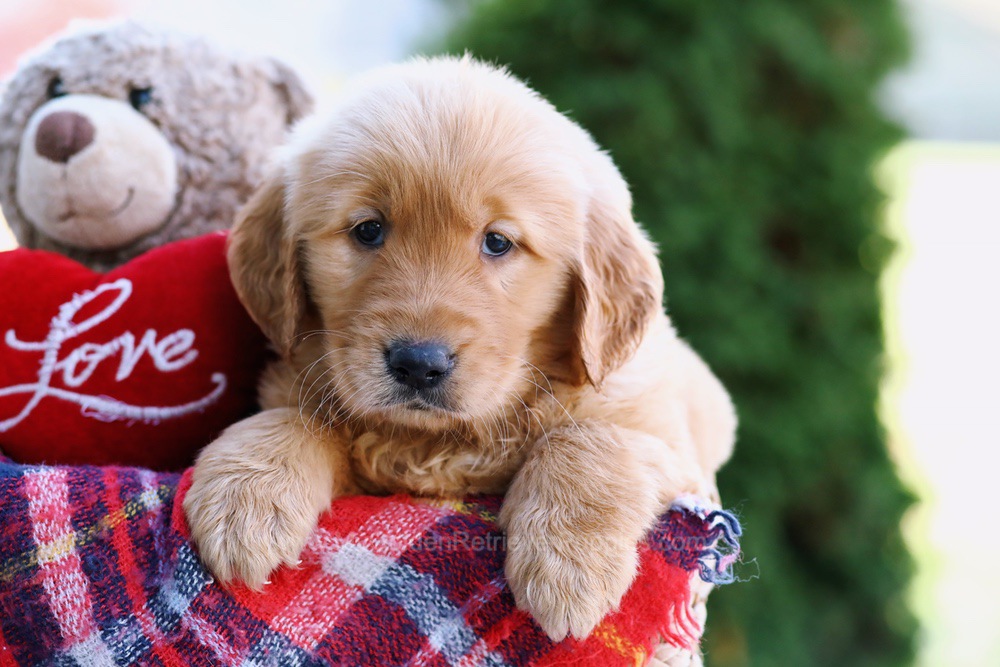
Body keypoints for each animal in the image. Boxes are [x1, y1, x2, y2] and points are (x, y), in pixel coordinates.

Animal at [186, 57, 736, 640]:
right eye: (368, 229)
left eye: (498, 242)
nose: (418, 364)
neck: (435, 442)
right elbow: (300, 417)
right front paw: (245, 501)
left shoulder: (676, 448)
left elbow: (592, 436)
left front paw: (569, 566)